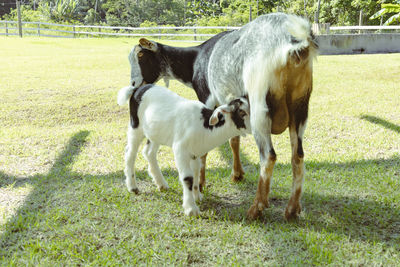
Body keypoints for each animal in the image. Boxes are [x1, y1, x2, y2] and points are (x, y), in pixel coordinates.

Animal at [119, 85, 250, 217]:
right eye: (241, 112)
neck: (204, 126)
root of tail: (137, 89)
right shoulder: (180, 149)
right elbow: (188, 178)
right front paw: (191, 208)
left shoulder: (195, 153)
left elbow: (196, 172)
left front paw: (197, 196)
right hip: (135, 126)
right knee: (130, 153)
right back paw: (133, 187)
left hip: (156, 132)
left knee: (148, 152)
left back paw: (161, 184)